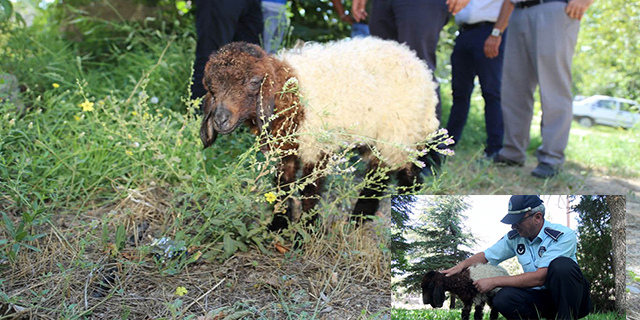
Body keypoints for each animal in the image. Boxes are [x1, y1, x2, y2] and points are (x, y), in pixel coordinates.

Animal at [200, 37, 440, 231]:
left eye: (253, 82)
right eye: (210, 86)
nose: (220, 119)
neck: (291, 92)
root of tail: (416, 61)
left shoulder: (315, 145)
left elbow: (310, 190)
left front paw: (305, 231)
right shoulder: (285, 149)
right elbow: (282, 186)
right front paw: (277, 226)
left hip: (400, 131)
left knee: (397, 173)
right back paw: (359, 219)